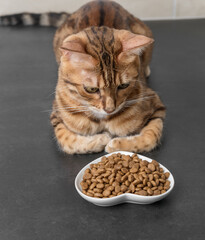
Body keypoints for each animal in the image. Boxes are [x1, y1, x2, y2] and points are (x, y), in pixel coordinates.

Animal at [48, 0, 166, 154]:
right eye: (91, 89)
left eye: (123, 86)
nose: (110, 109)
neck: (103, 120)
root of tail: (101, 1)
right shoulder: (57, 114)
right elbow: (68, 140)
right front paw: (101, 139)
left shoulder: (156, 106)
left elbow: (150, 136)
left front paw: (116, 143)